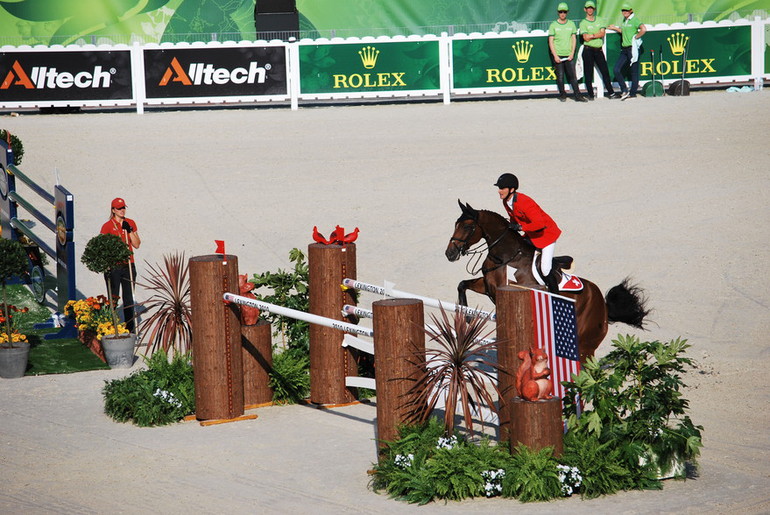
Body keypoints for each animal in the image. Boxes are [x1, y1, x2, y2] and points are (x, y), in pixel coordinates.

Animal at [444, 201, 648, 362]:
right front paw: (467, 316)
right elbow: (462, 285)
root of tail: (604, 305)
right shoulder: (487, 286)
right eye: (455, 224)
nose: (450, 253)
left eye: (467, 227)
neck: (506, 256)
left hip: (586, 343)